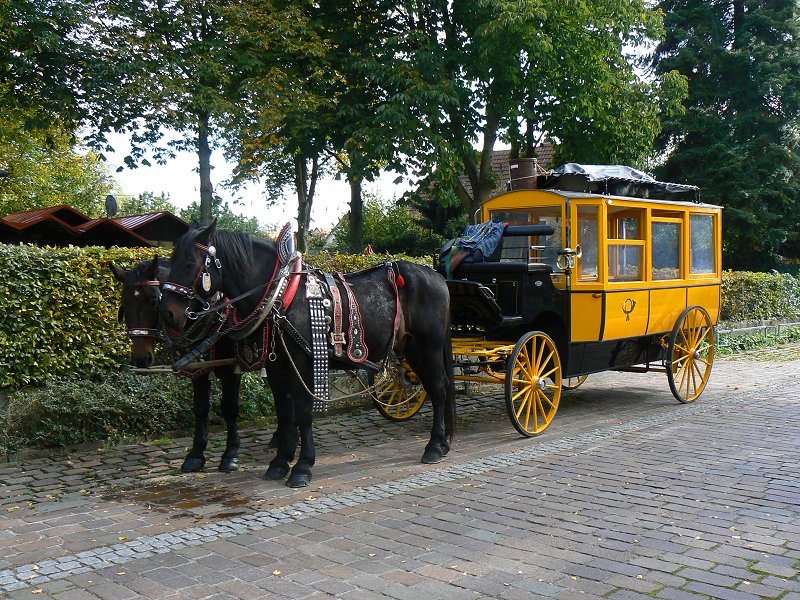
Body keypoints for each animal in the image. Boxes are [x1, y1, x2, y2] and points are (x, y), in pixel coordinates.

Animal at [161, 220, 456, 488]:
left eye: (190, 262)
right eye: (171, 259)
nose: (169, 314)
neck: (281, 295)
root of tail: (436, 276)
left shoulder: (303, 363)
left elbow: (302, 412)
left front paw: (302, 466)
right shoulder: (277, 367)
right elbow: (284, 412)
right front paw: (280, 462)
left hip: (427, 346)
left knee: (438, 389)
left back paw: (435, 445)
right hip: (411, 348)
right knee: (435, 388)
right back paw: (441, 444)